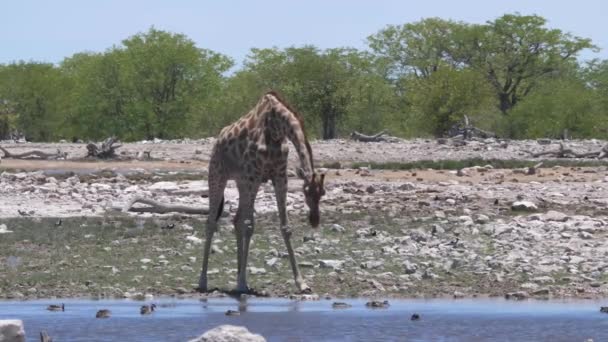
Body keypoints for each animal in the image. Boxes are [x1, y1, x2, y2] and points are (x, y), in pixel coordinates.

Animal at [198, 91, 324, 294]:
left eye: (322, 194)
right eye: (305, 192)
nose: (314, 220)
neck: (276, 129)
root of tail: (218, 139)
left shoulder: (279, 175)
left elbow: (285, 228)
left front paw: (302, 283)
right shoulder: (254, 175)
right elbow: (250, 226)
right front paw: (242, 283)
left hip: (242, 182)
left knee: (236, 220)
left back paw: (239, 277)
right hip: (218, 174)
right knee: (211, 222)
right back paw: (203, 281)